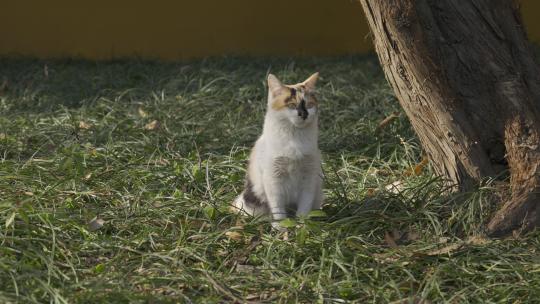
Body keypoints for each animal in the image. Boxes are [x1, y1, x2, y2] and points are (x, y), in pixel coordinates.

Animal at [231, 71, 322, 228]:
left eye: (310, 105)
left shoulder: (309, 176)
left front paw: (302, 224)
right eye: (292, 105)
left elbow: (304, 205)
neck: (294, 137)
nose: (304, 114)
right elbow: (278, 207)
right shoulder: (273, 178)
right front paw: (281, 227)